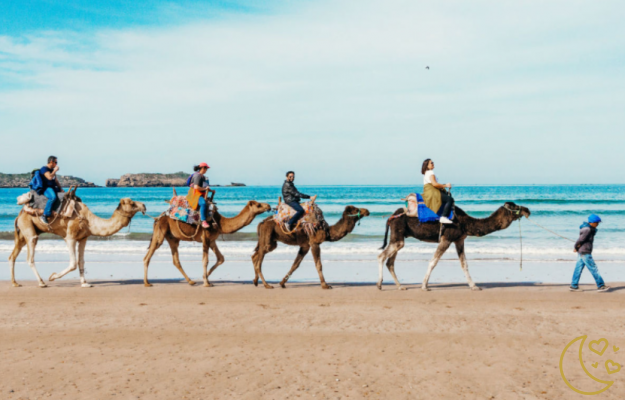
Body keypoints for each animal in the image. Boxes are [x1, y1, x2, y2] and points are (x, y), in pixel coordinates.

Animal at [9, 197, 146, 288]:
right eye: (132, 203)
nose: (144, 205)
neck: (89, 221)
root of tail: (19, 215)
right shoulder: (70, 237)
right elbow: (73, 263)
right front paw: (52, 276)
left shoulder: (83, 238)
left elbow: (81, 261)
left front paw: (85, 283)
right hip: (28, 227)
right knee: (30, 255)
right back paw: (42, 282)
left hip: (22, 233)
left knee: (13, 256)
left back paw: (15, 283)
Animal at [378, 203, 528, 290]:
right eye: (514, 206)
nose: (527, 210)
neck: (465, 223)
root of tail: (391, 217)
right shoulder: (447, 238)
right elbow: (433, 261)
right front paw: (424, 286)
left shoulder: (459, 240)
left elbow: (464, 264)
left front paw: (474, 286)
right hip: (398, 235)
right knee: (382, 256)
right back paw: (379, 284)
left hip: (399, 236)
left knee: (390, 262)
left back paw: (400, 286)